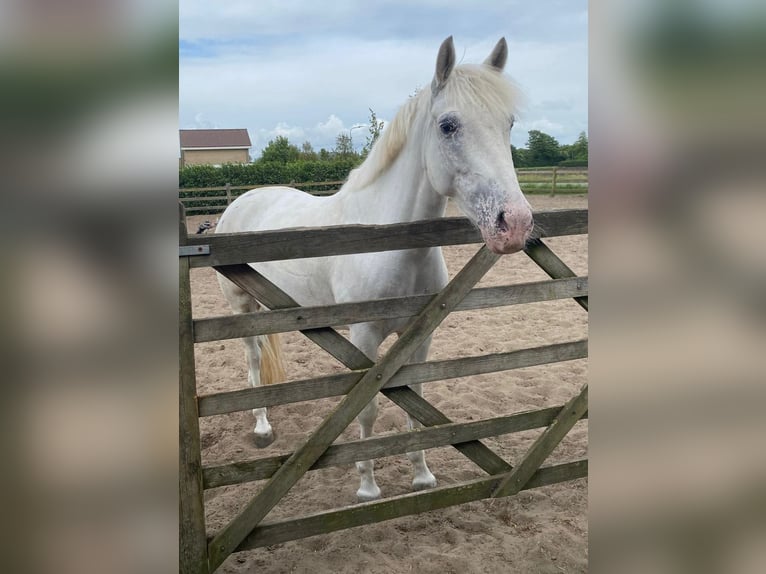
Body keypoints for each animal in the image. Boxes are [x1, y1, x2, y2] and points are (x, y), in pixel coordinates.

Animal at [216, 37, 536, 504]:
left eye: (508, 123)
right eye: (448, 126)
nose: (513, 223)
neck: (391, 249)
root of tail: (243, 199)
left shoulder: (419, 338)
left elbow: (414, 401)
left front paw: (422, 476)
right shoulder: (364, 337)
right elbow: (367, 410)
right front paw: (367, 486)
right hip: (241, 306)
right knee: (253, 358)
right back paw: (261, 426)